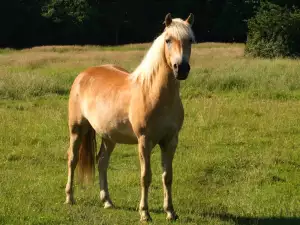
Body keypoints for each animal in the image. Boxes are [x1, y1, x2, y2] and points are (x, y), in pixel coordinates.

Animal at [64, 12, 196, 221]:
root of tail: (83, 75)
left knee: (102, 162)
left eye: (190, 40)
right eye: (168, 40)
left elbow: (167, 176)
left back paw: (107, 201)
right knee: (72, 159)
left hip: (109, 136)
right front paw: (145, 213)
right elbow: (145, 176)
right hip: (77, 129)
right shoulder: (144, 140)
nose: (181, 68)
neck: (153, 93)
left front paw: (170, 212)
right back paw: (69, 198)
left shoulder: (171, 140)